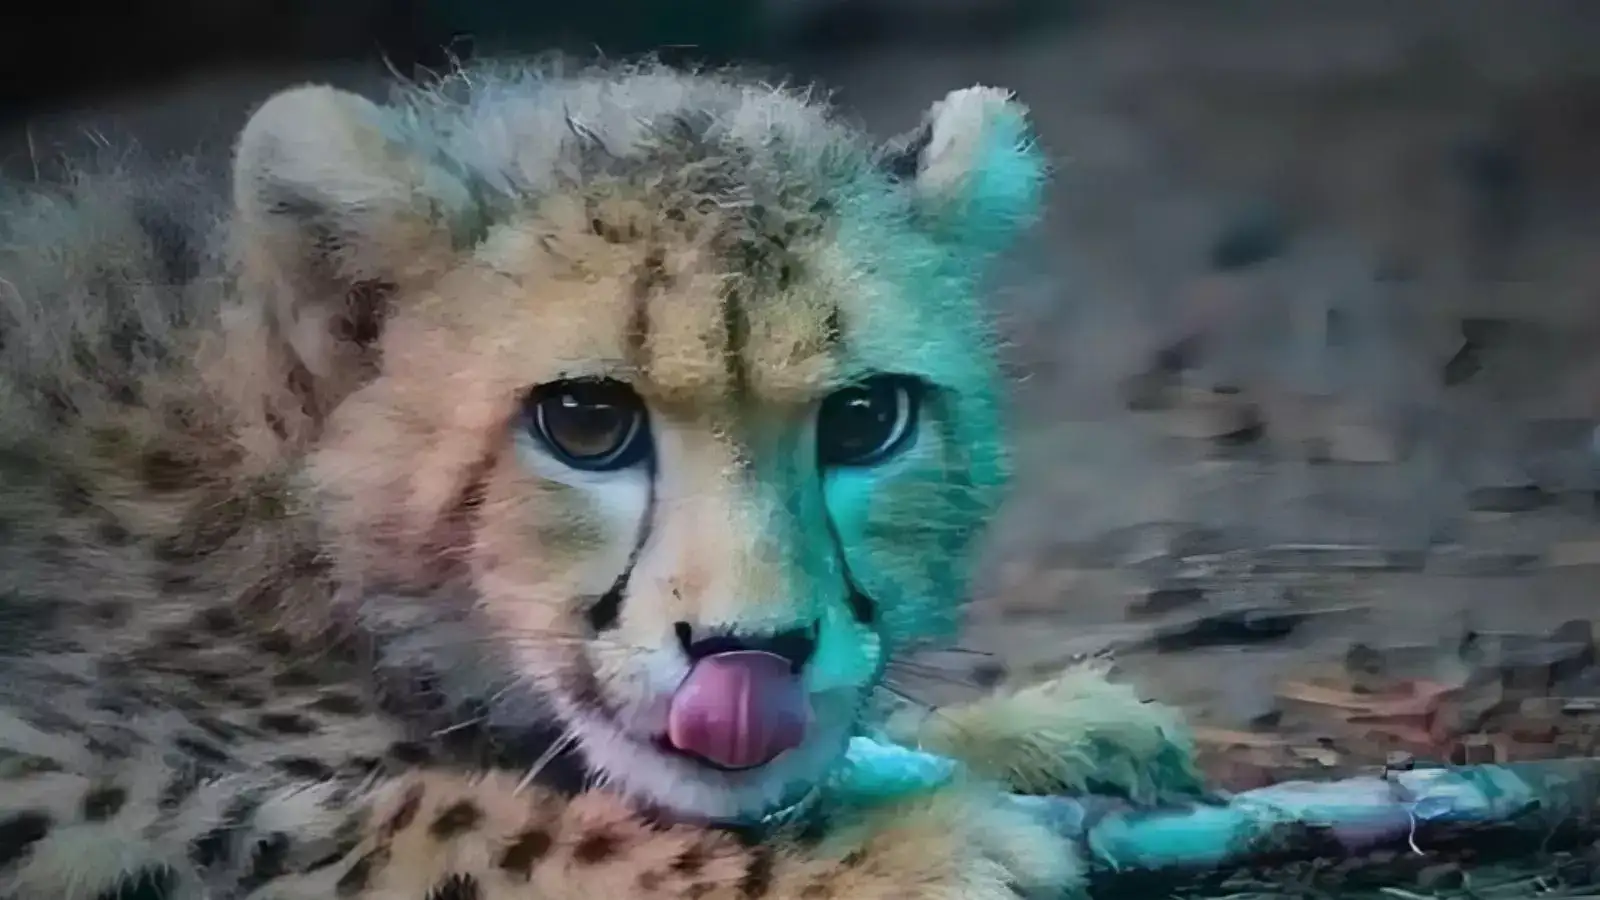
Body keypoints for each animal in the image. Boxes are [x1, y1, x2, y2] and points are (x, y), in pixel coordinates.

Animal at [0, 58, 1202, 900]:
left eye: (867, 420)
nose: (754, 654)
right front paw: (892, 851)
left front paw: (1042, 737)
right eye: (585, 423)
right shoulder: (58, 790)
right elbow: (405, 822)